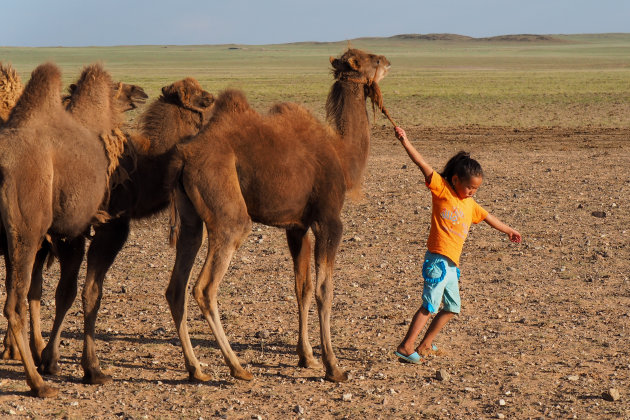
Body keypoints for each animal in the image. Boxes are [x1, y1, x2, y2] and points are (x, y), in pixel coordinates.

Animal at [0, 61, 146, 398]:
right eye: (120, 88)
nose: (141, 92)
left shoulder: (63, 235)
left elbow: (56, 292)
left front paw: (50, 358)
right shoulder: (86, 230)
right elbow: (80, 292)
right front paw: (87, 368)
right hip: (25, 233)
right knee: (14, 305)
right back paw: (38, 384)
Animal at [165, 47, 388, 382]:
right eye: (369, 59)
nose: (387, 61)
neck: (341, 154)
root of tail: (184, 157)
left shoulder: (297, 226)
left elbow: (302, 288)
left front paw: (306, 357)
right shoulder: (328, 221)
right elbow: (324, 289)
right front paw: (333, 366)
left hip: (191, 218)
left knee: (176, 285)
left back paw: (196, 369)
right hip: (227, 209)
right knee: (205, 286)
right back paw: (237, 368)